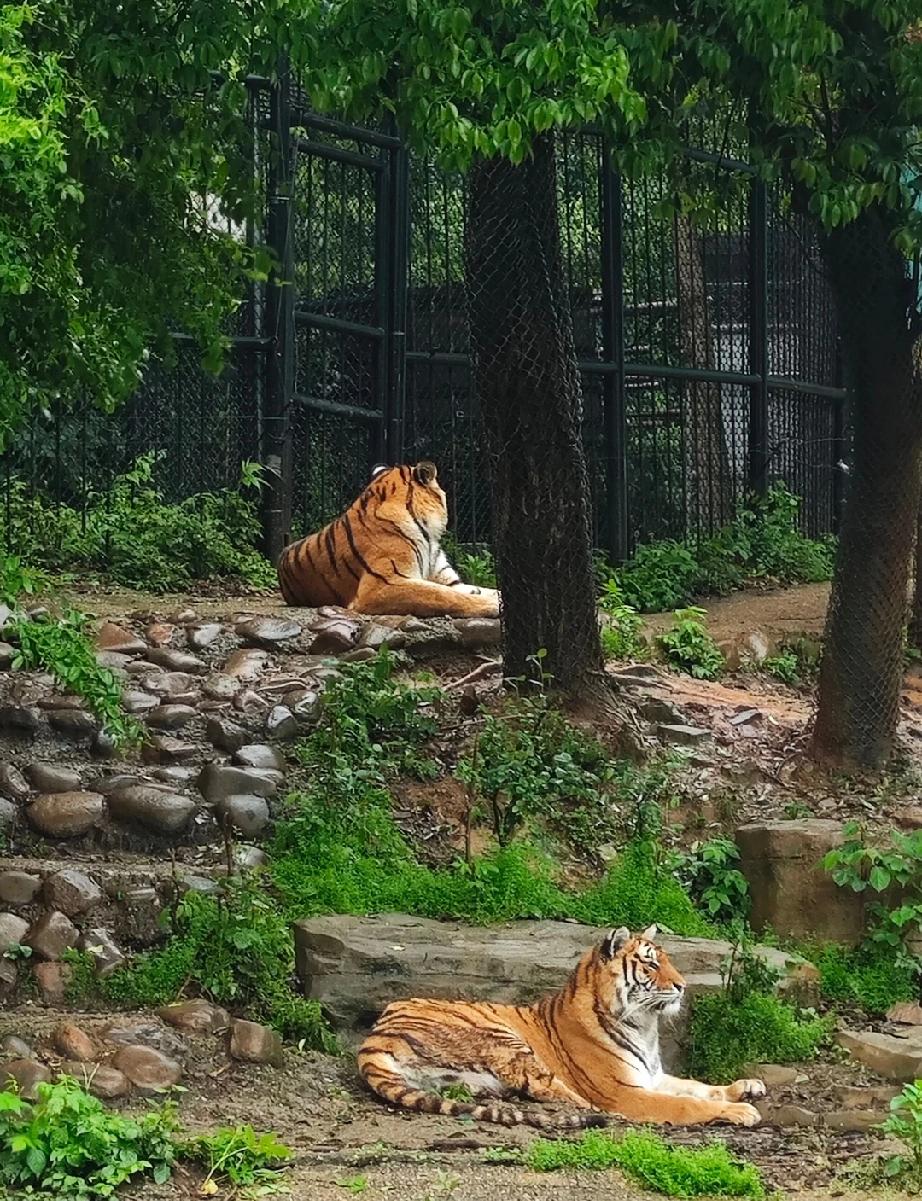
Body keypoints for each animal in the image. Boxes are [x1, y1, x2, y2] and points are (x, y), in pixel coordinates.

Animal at [357, 925, 766, 1131]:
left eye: (666, 960)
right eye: (651, 964)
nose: (683, 986)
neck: (644, 1026)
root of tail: (372, 1038)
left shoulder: (652, 1075)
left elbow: (698, 1086)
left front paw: (746, 1087)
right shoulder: (625, 1090)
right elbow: (686, 1102)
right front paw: (740, 1111)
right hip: (501, 1035)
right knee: (551, 1089)